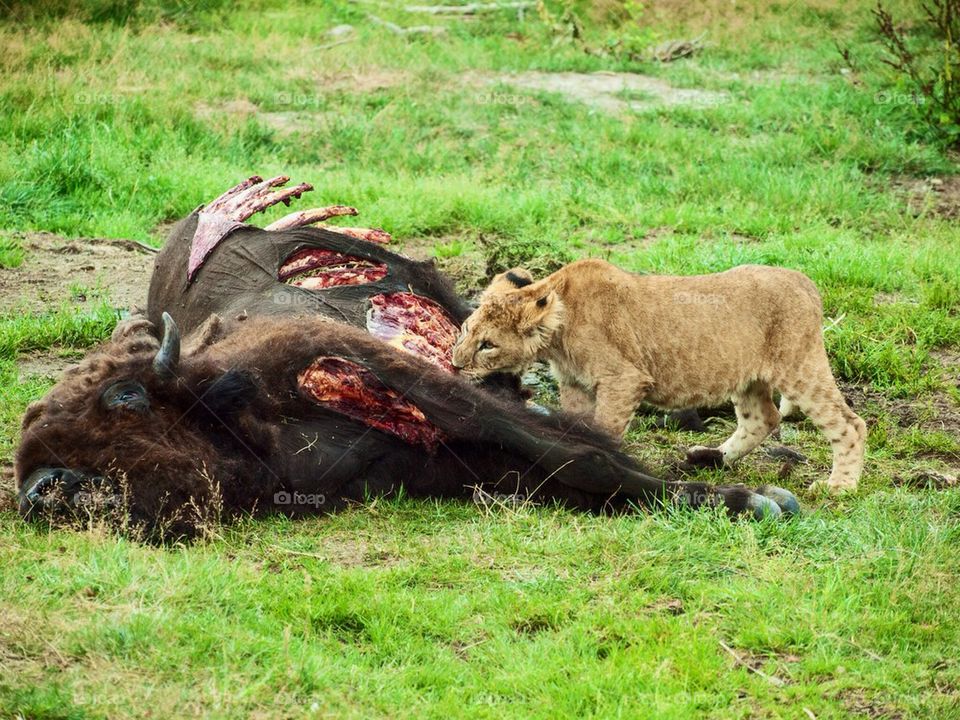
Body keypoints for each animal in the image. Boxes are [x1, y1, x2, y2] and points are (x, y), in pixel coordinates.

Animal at [451, 258, 867, 493]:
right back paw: (710, 459)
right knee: (763, 418)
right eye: (467, 329)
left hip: (798, 366)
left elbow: (605, 428)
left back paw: (839, 487)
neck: (559, 329)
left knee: (849, 423)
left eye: (487, 345)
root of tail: (805, 282)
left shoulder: (623, 379)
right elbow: (575, 425)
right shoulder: (574, 384)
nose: (455, 364)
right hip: (747, 376)